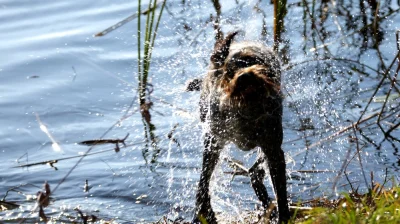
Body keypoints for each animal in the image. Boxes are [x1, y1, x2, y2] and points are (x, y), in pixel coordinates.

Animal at [192, 32, 290, 224]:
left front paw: (283, 217)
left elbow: (281, 193)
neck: (247, 111)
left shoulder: (273, 149)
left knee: (255, 175)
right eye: (228, 70)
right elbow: (203, 184)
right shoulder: (213, 143)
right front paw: (203, 211)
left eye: (254, 62)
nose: (245, 76)